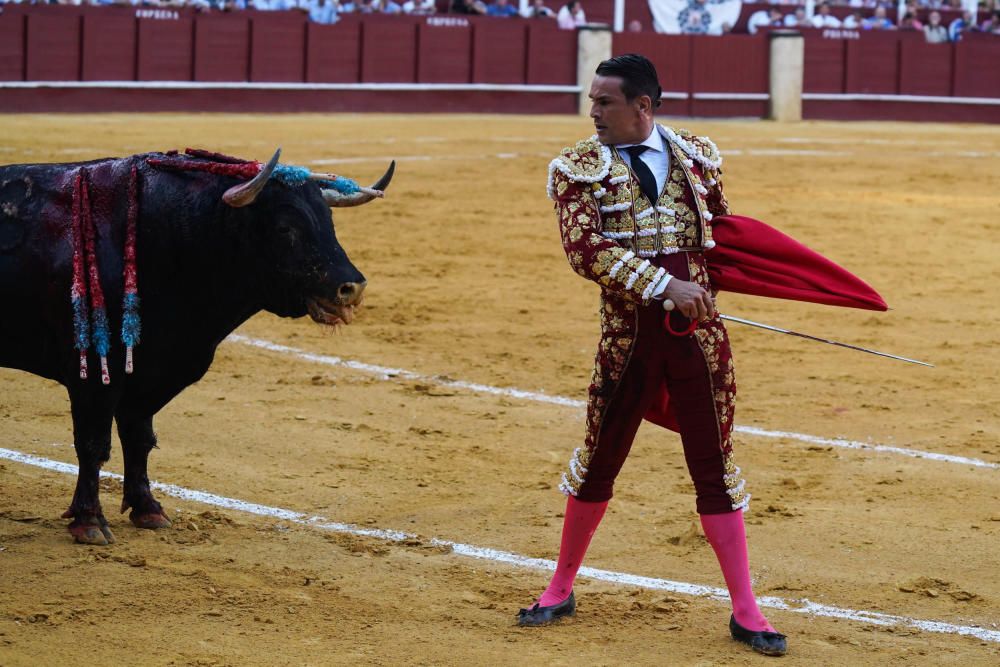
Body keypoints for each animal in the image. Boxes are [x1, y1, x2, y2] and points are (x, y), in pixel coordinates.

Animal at [0, 146, 394, 544]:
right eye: (286, 228)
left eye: (330, 222)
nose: (352, 288)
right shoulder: (94, 372)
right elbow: (93, 443)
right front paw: (89, 521)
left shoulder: (154, 370)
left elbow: (139, 437)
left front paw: (148, 509)